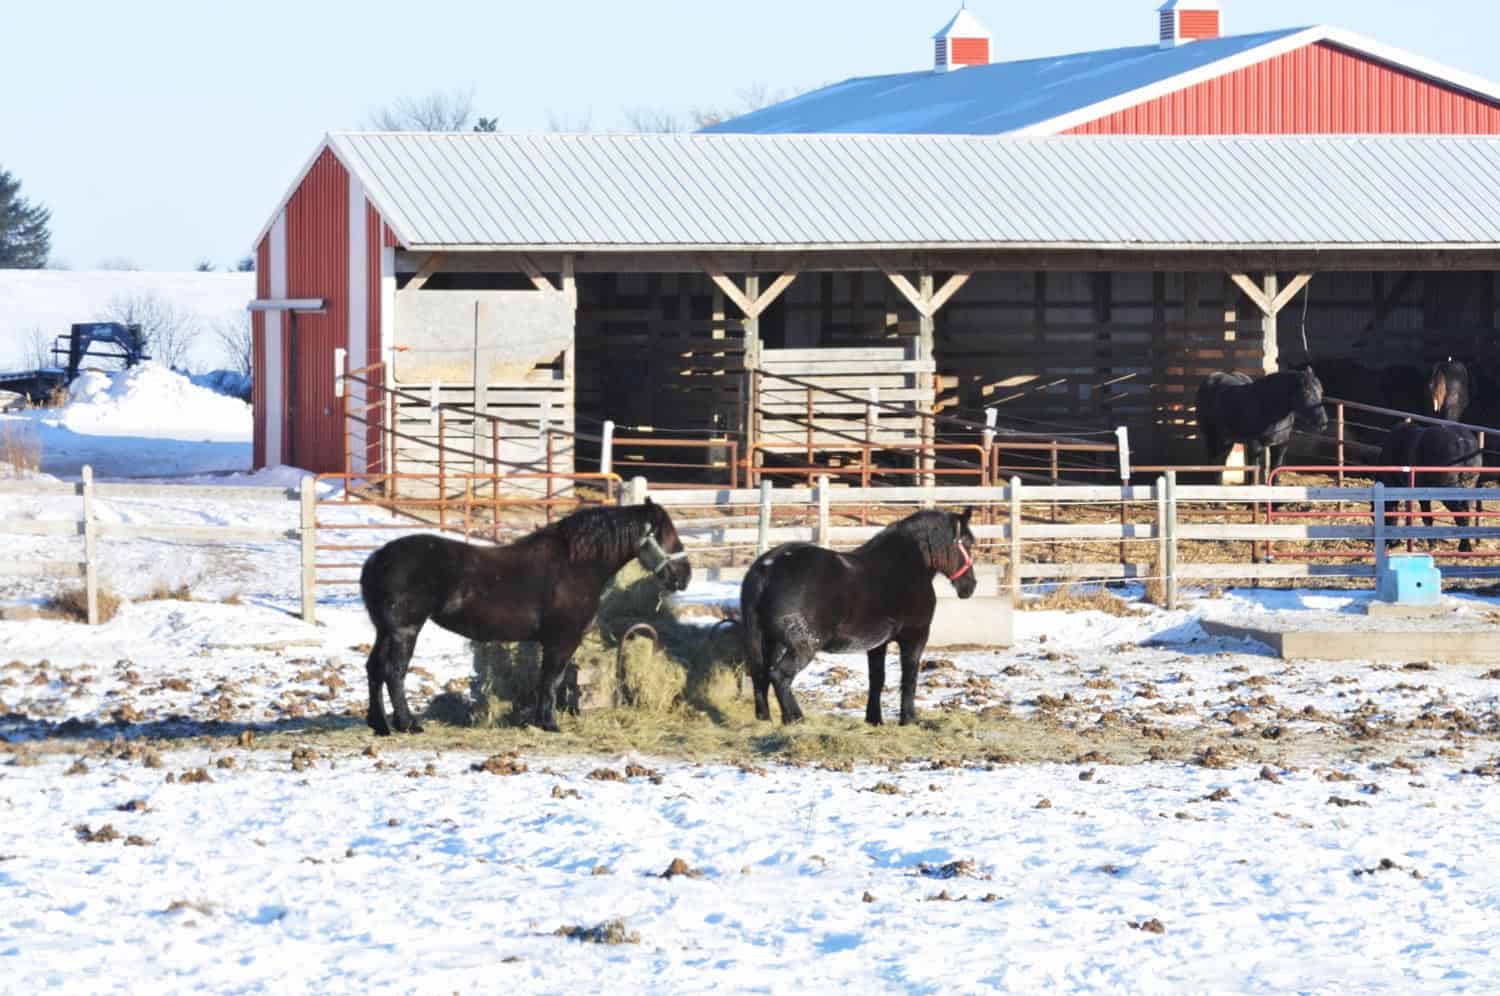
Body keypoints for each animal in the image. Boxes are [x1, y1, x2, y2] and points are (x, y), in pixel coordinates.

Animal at [360, 501, 693, 735]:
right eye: (667, 535)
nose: (685, 576)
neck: (575, 564)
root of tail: (378, 558)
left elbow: (544, 680)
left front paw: (537, 721)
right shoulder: (562, 640)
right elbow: (551, 680)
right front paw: (549, 723)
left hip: (385, 631)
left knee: (374, 669)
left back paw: (380, 725)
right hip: (405, 631)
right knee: (394, 672)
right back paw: (408, 724)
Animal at [741, 510, 978, 729]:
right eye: (967, 543)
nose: (970, 586)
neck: (905, 566)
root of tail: (768, 567)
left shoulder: (878, 644)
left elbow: (877, 678)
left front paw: (874, 719)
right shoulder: (915, 637)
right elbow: (909, 678)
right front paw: (909, 719)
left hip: (771, 642)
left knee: (760, 675)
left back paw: (765, 720)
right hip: (803, 647)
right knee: (779, 676)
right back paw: (796, 718)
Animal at [1200, 367, 1332, 477]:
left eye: (1321, 392)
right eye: (1306, 393)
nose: (1323, 422)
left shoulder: (1280, 446)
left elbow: (1275, 472)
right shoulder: (1255, 447)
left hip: (1227, 440)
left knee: (1221, 464)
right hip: (1212, 437)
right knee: (1213, 463)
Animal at [1374, 417, 1482, 549]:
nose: (1389, 543)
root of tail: (1463, 442)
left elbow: (1427, 517)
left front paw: (1432, 544)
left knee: (1461, 513)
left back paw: (1464, 547)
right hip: (1469, 484)